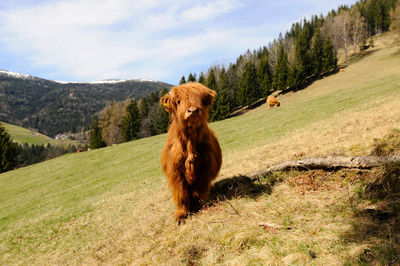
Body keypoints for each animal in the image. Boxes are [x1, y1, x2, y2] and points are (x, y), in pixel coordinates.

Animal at [159, 82, 222, 222]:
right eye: (179, 101)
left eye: (201, 100)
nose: (193, 110)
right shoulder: (176, 173)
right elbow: (181, 193)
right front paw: (181, 215)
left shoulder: (205, 168)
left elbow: (198, 190)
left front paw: (197, 207)